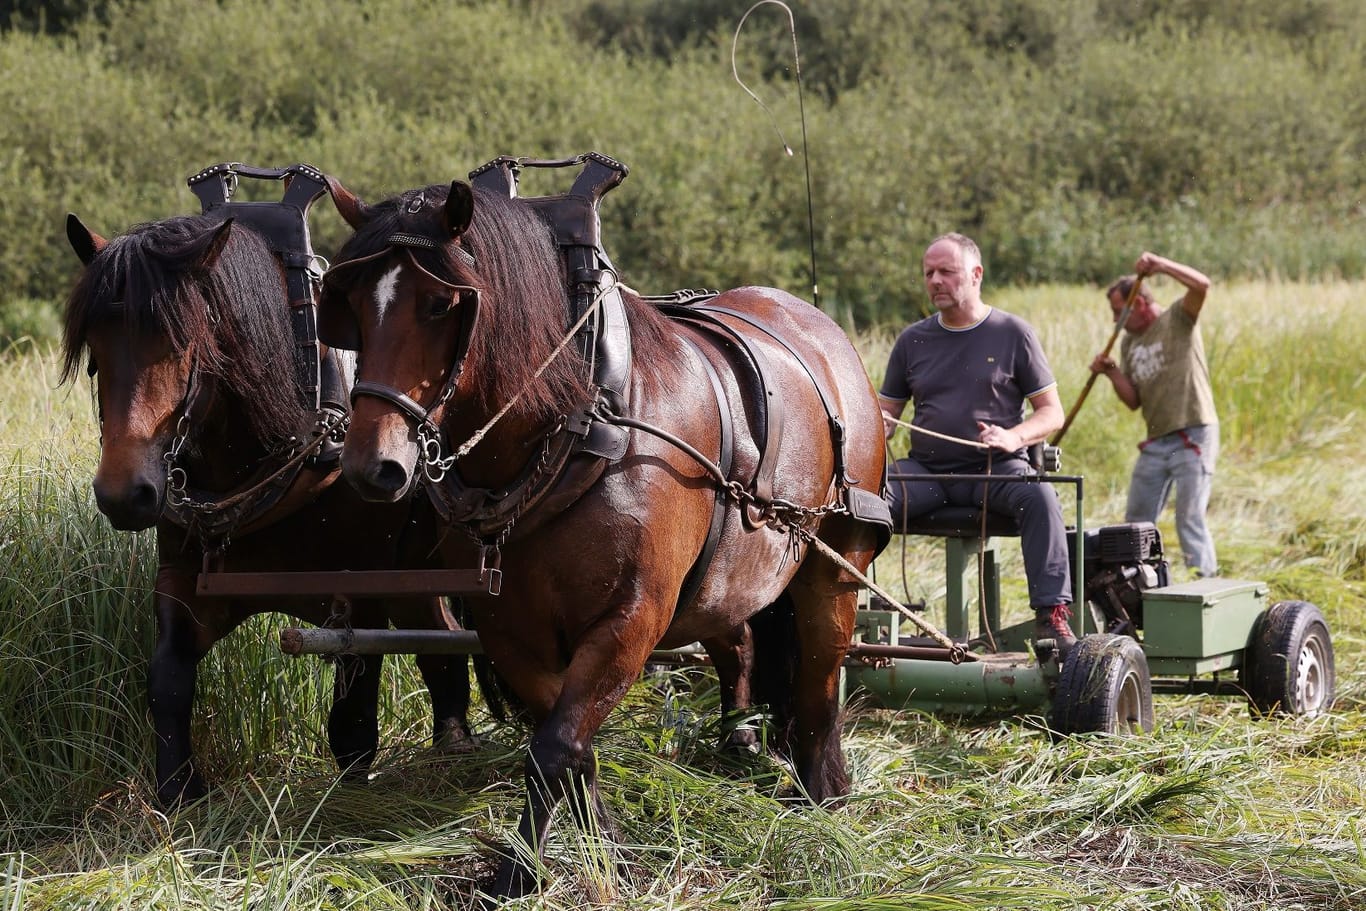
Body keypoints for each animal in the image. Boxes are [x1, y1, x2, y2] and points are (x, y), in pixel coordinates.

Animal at [61, 211, 483, 803]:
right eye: (94, 351)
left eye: (183, 342)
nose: (125, 493)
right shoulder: (184, 575)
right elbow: (167, 679)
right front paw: (181, 791)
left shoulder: (366, 583)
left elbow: (354, 709)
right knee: (440, 635)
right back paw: (454, 741)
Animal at [316, 177, 885, 895]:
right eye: (352, 303)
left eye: (441, 303)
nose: (373, 465)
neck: (580, 424)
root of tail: (821, 329)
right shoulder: (509, 629)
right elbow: (564, 741)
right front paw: (603, 848)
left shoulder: (631, 618)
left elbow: (556, 745)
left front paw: (518, 872)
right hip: (730, 573)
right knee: (738, 640)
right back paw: (738, 742)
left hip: (835, 556)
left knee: (820, 670)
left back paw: (823, 792)